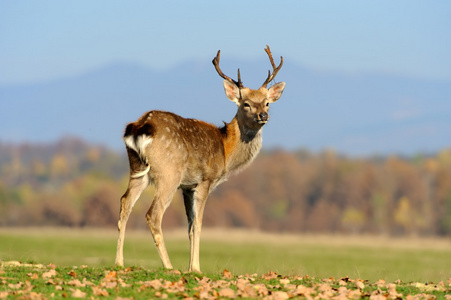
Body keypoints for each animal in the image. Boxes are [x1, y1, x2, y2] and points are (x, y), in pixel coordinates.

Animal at [116, 45, 286, 274]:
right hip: (169, 172)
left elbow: (189, 227)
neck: (226, 150)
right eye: (246, 104)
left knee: (125, 203)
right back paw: (169, 266)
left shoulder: (188, 187)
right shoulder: (205, 180)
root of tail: (141, 126)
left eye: (267, 103)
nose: (263, 116)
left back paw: (119, 262)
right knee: (153, 214)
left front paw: (191, 266)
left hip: (136, 168)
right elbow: (198, 224)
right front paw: (196, 268)